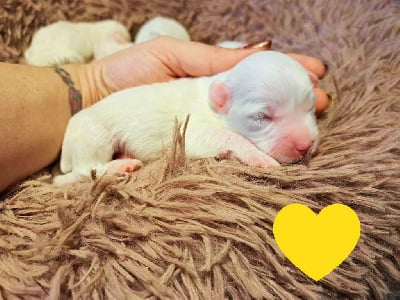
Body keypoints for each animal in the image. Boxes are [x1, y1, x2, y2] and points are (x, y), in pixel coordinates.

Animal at [53, 51, 318, 185]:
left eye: (310, 105)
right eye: (260, 117)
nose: (305, 145)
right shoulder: (192, 129)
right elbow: (226, 137)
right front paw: (259, 157)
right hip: (93, 135)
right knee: (83, 171)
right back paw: (119, 166)